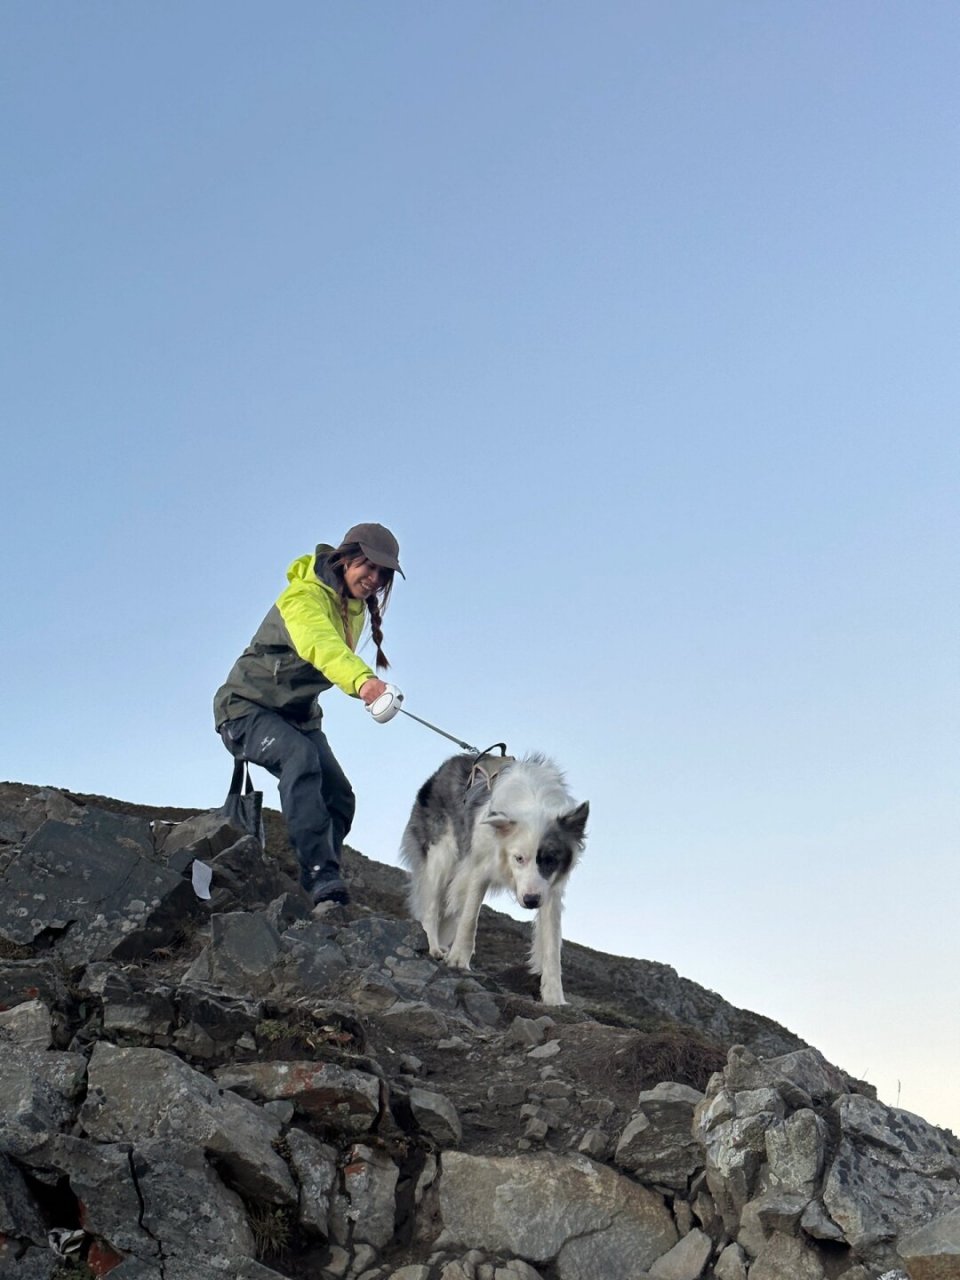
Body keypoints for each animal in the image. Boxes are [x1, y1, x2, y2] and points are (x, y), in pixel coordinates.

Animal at [396, 747, 586, 1008]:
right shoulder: (479, 868)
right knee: (431, 908)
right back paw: (434, 947)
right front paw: (458, 960)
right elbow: (470, 919)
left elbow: (552, 946)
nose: (531, 902)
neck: (533, 800)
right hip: (442, 855)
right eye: (519, 858)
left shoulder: (549, 890)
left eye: (550, 859)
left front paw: (555, 997)